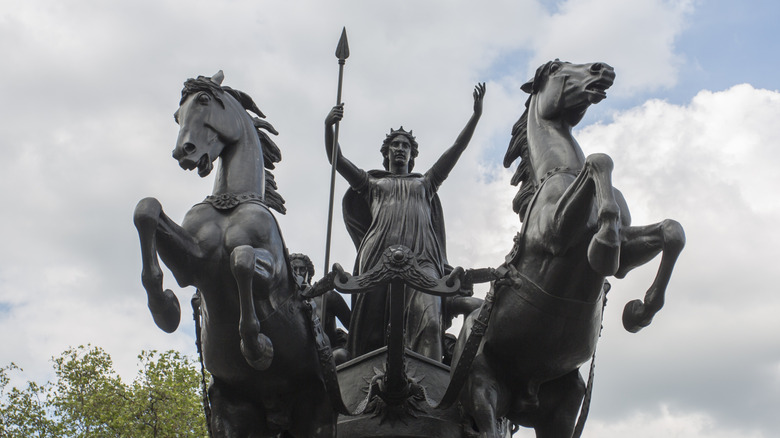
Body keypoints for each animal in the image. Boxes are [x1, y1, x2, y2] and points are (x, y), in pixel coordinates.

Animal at [132, 70, 338, 436]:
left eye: (203, 100)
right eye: (177, 115)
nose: (183, 152)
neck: (231, 201)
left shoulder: (272, 273)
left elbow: (240, 259)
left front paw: (257, 347)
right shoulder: (192, 264)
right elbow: (146, 209)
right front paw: (165, 308)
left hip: (316, 409)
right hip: (235, 410)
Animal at [454, 61, 684, 438]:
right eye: (555, 68)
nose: (602, 69)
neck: (562, 171)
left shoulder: (628, 251)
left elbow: (671, 231)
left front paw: (639, 311)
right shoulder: (556, 234)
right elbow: (600, 160)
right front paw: (604, 245)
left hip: (562, 407)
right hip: (481, 388)